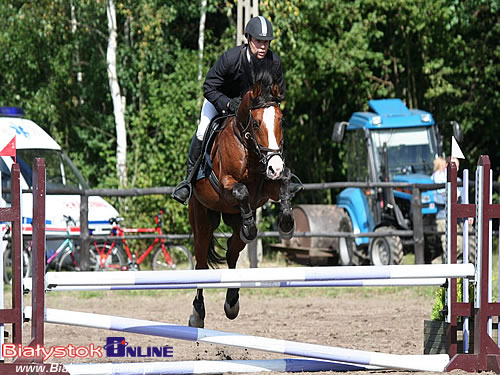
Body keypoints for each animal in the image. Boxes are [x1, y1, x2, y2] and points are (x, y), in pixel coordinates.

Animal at [188, 67, 296, 328]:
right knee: (201, 262)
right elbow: (241, 191)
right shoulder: (225, 185)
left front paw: (286, 222)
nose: (275, 167)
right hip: (202, 218)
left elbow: (285, 182)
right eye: (256, 123)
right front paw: (252, 225)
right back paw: (197, 312)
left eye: (281, 121)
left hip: (232, 223)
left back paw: (232, 302)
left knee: (232, 252)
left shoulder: (267, 186)